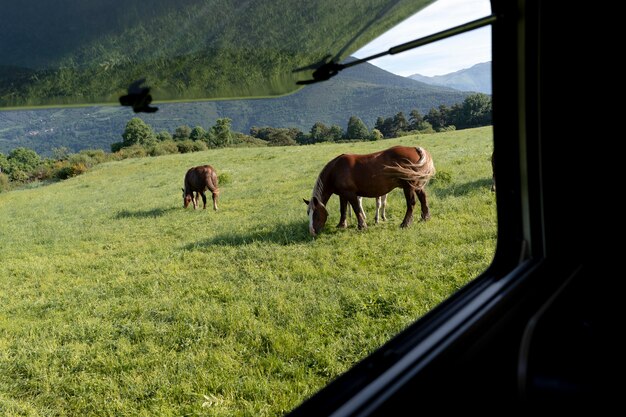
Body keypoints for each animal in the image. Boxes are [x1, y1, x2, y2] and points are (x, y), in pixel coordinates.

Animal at [304, 145, 434, 236]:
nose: (312, 232)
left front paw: (362, 226)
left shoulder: (350, 194)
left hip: (408, 186)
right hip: (417, 185)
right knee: (423, 198)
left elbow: (356, 209)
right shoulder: (343, 195)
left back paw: (405, 224)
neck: (336, 170)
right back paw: (425, 218)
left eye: (316, 214)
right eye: (308, 213)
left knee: (411, 203)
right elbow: (343, 209)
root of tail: (415, 149)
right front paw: (342, 225)